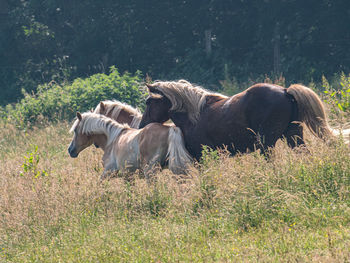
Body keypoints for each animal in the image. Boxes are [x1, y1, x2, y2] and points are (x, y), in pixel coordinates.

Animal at [138, 79, 334, 160]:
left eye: (149, 102)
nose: (142, 125)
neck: (193, 116)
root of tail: (286, 91)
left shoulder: (204, 156)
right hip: (293, 136)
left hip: (267, 143)